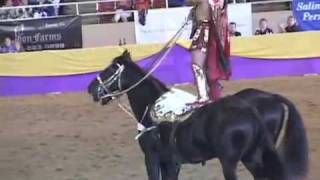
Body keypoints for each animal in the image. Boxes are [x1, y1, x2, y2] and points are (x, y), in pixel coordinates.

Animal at [87, 51, 308, 180]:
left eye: (110, 70)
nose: (91, 88)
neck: (152, 106)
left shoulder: (152, 158)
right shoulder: (171, 163)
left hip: (231, 162)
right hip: (253, 157)